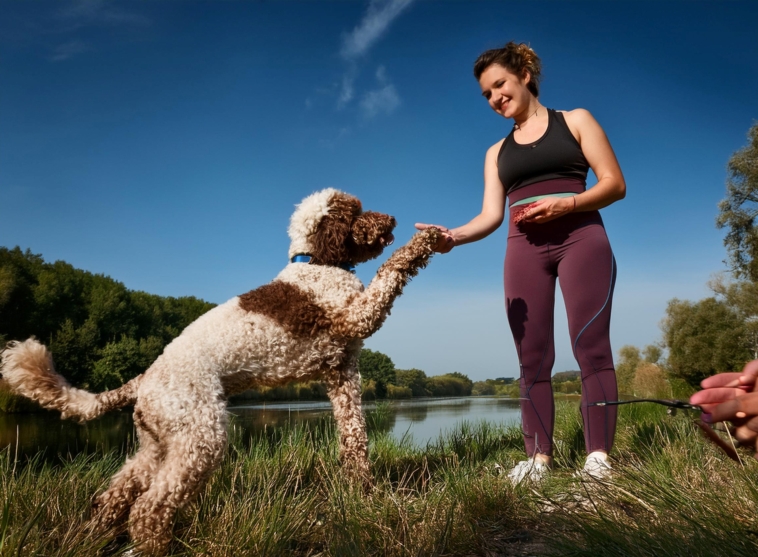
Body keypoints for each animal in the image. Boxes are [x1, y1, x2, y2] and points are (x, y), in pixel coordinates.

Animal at [0, 189, 440, 552]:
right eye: (357, 212)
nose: (392, 219)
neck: (317, 263)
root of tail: (143, 379)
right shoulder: (355, 319)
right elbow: (389, 271)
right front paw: (424, 241)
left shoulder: (341, 371)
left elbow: (355, 439)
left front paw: (362, 491)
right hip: (201, 436)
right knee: (149, 507)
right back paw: (154, 545)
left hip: (159, 443)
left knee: (114, 495)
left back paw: (95, 536)